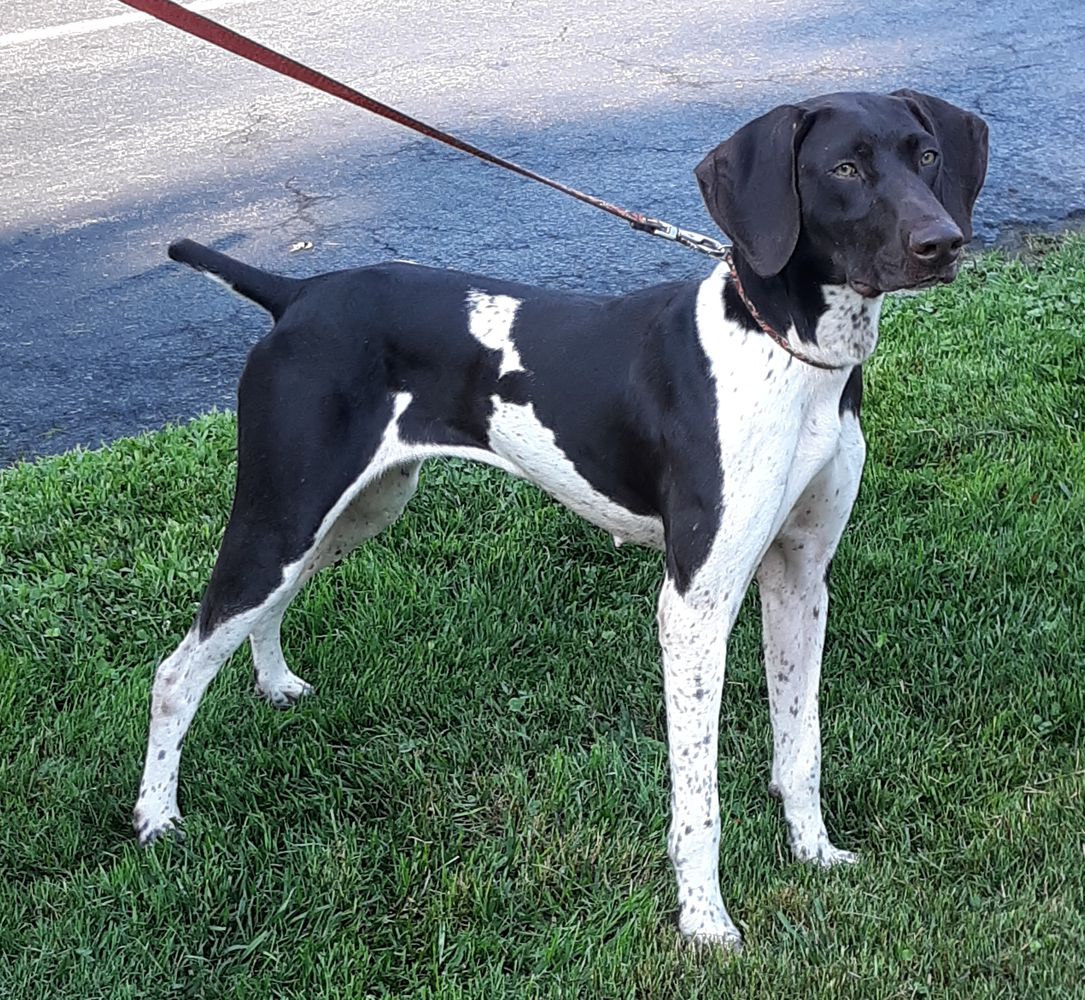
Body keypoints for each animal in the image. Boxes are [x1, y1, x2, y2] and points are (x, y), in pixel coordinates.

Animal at [131, 89, 989, 945]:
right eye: (842, 169)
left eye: (924, 155)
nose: (941, 243)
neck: (782, 353)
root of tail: (297, 294)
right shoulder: (695, 604)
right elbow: (699, 799)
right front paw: (704, 921)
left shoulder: (800, 577)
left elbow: (799, 745)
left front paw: (812, 851)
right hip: (283, 512)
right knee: (177, 671)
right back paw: (155, 817)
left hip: (353, 509)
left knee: (265, 610)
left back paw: (273, 683)